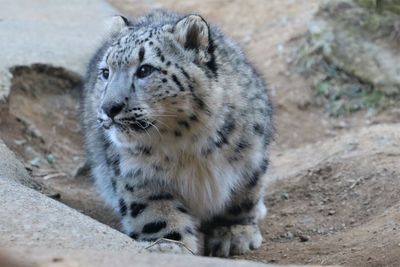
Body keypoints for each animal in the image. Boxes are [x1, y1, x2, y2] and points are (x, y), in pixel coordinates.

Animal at [81, 9, 272, 258]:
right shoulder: (139, 175)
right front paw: (168, 245)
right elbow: (155, 211)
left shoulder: (250, 158)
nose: (109, 108)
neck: (190, 147)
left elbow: (242, 197)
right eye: (105, 72)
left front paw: (233, 233)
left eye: (145, 69)